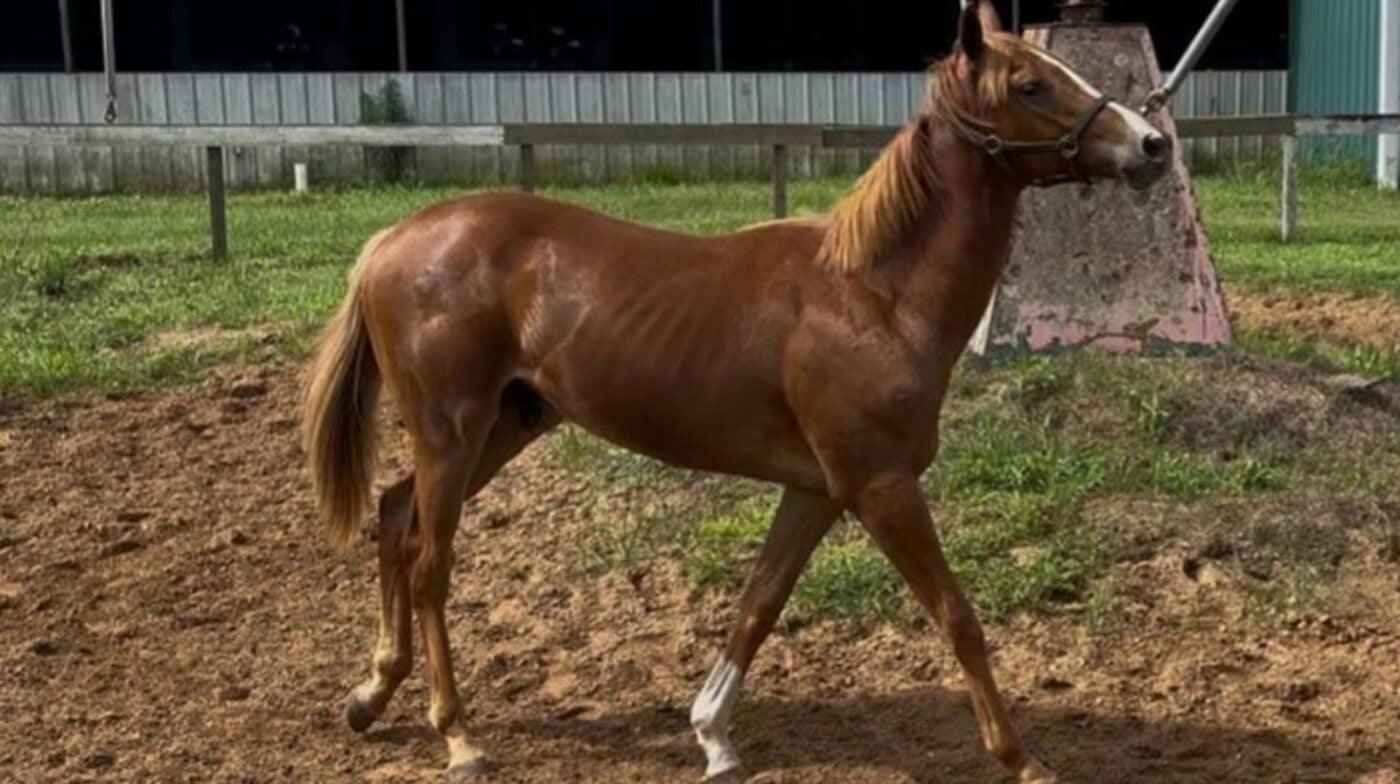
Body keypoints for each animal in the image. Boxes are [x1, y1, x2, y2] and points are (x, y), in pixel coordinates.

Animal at [301, 3, 1170, 782]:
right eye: (1030, 83)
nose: (1152, 143)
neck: (874, 295)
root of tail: (393, 239)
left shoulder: (816, 491)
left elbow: (760, 602)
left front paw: (713, 737)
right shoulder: (882, 486)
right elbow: (958, 617)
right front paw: (1023, 759)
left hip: (504, 426)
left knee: (394, 516)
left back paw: (370, 695)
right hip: (452, 428)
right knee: (429, 562)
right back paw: (458, 737)